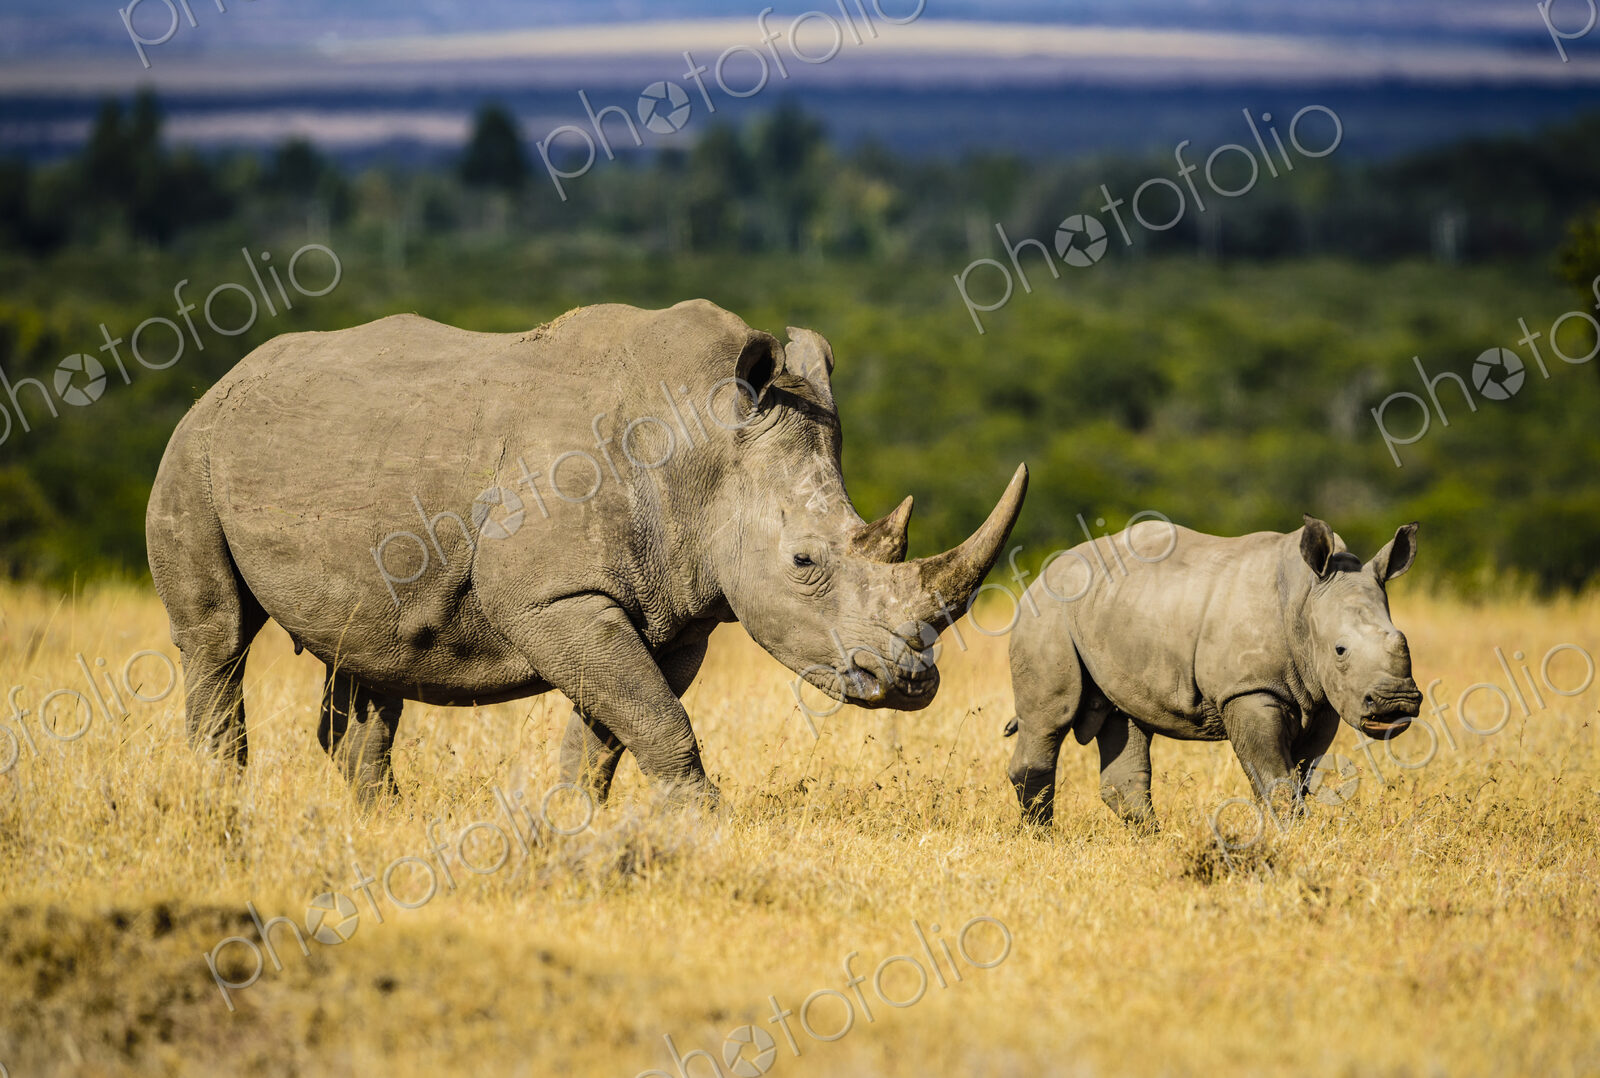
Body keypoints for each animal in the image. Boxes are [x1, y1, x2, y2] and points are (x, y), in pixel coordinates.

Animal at [146, 300, 1027, 806]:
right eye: (805, 564)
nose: (910, 683)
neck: (706, 449)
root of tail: (230, 375)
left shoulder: (673, 614)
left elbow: (617, 726)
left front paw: (573, 825)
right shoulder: (553, 598)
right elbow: (655, 718)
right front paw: (704, 827)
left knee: (370, 656)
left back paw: (379, 816)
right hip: (195, 447)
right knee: (218, 638)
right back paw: (221, 799)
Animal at [1004, 515, 1420, 828]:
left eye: (1404, 640)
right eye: (1340, 650)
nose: (1396, 704)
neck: (1304, 596)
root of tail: (1043, 573)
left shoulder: (1321, 699)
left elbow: (1300, 775)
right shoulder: (1248, 689)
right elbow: (1274, 777)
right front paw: (1289, 836)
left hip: (1112, 613)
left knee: (1124, 718)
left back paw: (1151, 840)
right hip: (1047, 611)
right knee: (1050, 718)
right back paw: (1042, 838)